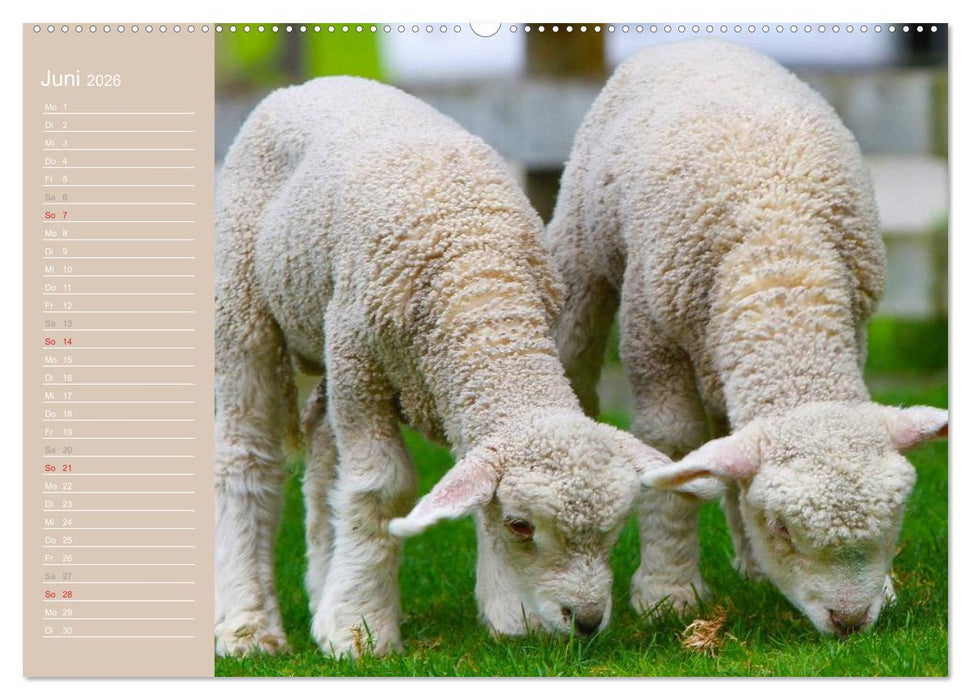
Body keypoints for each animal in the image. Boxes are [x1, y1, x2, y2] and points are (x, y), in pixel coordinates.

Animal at [213, 76, 669, 657]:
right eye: (521, 526)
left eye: (614, 530)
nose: (586, 621)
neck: (477, 278)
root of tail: (308, 85)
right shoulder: (359, 361)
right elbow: (380, 488)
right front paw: (361, 629)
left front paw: (509, 615)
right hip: (244, 307)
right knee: (246, 455)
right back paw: (249, 626)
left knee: (321, 459)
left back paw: (321, 592)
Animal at [544, 39, 948, 637]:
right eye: (781, 527)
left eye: (895, 517)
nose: (850, 622)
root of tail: (694, 40)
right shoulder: (653, 338)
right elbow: (673, 445)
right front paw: (668, 591)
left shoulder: (853, 329)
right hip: (583, 247)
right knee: (577, 349)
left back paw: (750, 566)